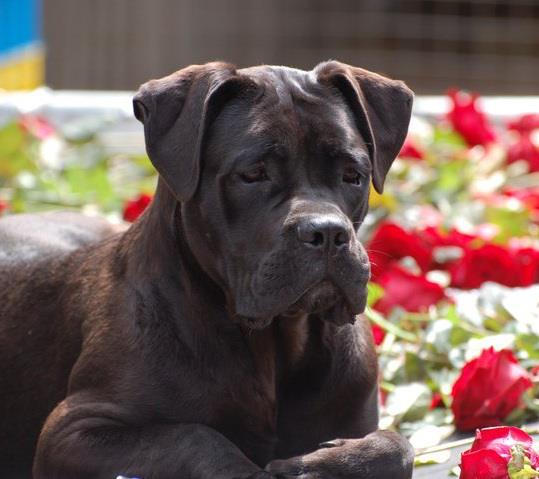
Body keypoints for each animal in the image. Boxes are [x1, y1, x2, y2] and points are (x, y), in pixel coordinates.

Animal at [0, 60, 414, 479]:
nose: (327, 232)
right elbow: (195, 438)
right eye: (253, 173)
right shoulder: (73, 431)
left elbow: (397, 445)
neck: (275, 343)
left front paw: (325, 463)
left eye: (353, 175)